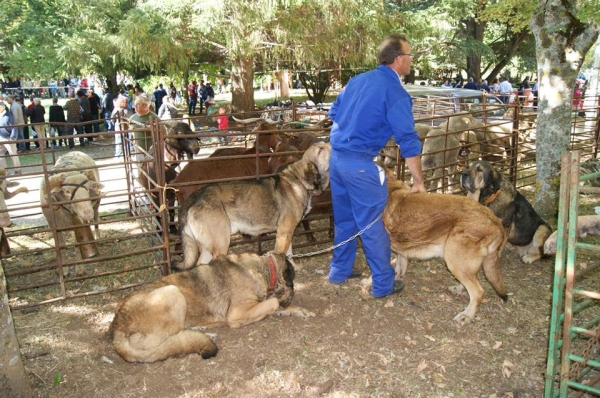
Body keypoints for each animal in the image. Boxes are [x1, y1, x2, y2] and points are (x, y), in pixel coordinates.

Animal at [110, 252, 314, 364]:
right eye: (293, 283)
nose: (292, 294)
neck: (265, 269)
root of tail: (117, 327)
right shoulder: (238, 312)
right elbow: (273, 303)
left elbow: (274, 304)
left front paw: (296, 310)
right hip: (173, 292)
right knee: (169, 339)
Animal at [173, 141, 332, 268]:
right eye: (320, 149)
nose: (331, 140)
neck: (299, 180)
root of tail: (194, 197)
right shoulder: (283, 233)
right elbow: (281, 255)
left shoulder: (288, 232)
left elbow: (289, 254)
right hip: (221, 245)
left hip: (208, 248)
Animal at [376, 169, 506, 324]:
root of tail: (495, 221)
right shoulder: (402, 251)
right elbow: (400, 268)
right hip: (462, 263)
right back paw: (459, 289)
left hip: (454, 261)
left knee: (478, 292)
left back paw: (467, 315)